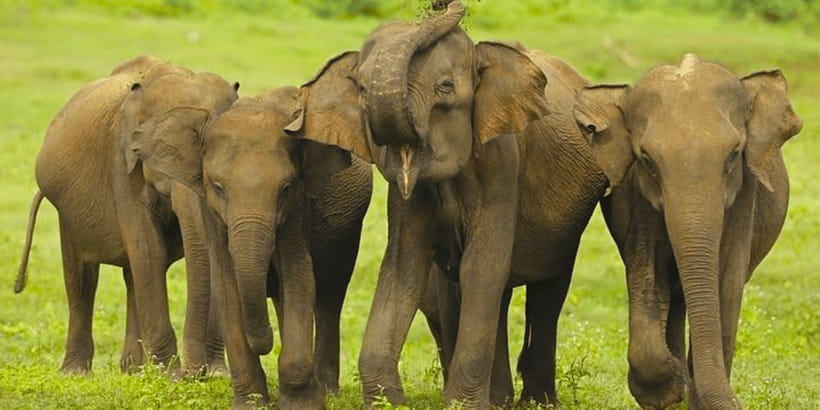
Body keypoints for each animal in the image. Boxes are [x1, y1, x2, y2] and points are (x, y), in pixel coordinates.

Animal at [15, 55, 238, 376]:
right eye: (160, 153)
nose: (196, 373)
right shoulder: (120, 162)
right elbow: (148, 249)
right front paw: (171, 376)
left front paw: (214, 375)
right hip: (67, 211)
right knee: (82, 278)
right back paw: (78, 372)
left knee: (133, 275)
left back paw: (132, 369)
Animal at [126, 85, 372, 408]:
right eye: (218, 187)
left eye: (285, 188)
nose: (265, 342)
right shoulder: (212, 215)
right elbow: (227, 287)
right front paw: (252, 403)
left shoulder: (298, 209)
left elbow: (299, 277)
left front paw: (301, 404)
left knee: (329, 299)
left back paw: (327, 391)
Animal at [285, 1, 613, 407]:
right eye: (360, 88)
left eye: (445, 88)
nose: (446, 5)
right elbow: (403, 265)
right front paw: (389, 401)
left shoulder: (502, 163)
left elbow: (482, 265)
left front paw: (463, 404)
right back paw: (501, 399)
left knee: (546, 294)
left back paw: (534, 402)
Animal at [573, 54, 802, 409]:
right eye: (647, 159)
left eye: (734, 154)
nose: (737, 402)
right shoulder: (638, 200)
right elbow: (648, 277)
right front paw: (669, 388)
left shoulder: (743, 199)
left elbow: (726, 287)